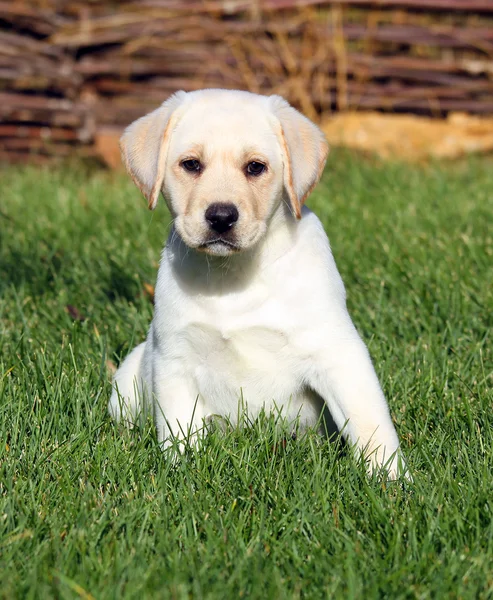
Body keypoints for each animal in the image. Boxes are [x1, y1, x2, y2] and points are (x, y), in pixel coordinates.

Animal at [109, 89, 406, 478]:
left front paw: (391, 479)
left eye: (255, 167)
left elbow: (369, 422)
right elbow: (179, 431)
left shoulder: (337, 353)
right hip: (129, 375)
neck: (233, 274)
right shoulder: (175, 359)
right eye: (191, 165)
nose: (221, 217)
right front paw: (182, 474)